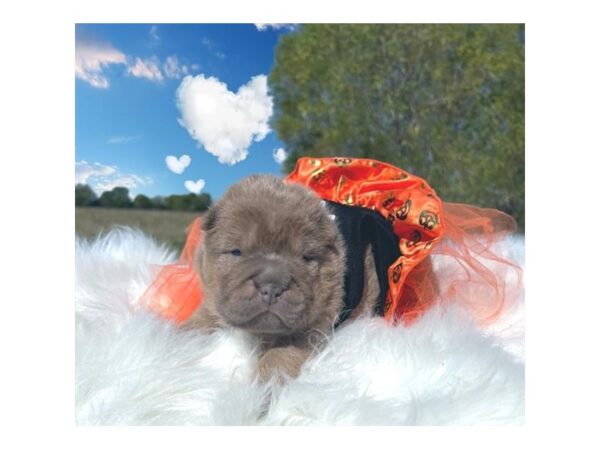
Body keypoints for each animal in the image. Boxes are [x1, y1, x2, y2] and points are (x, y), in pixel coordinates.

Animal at [188, 174, 384, 382]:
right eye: (236, 252)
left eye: (306, 258)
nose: (272, 287)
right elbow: (201, 318)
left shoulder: (314, 325)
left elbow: (280, 356)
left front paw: (263, 387)